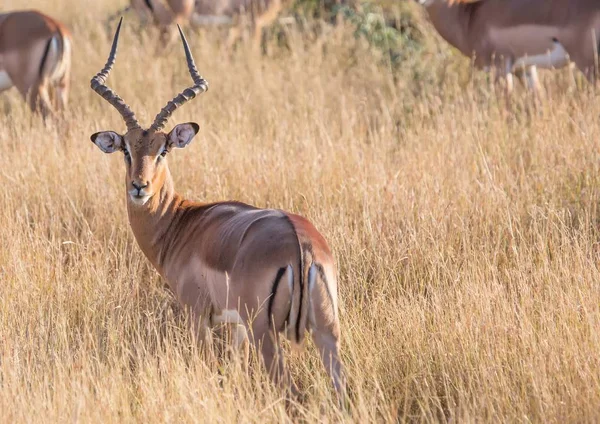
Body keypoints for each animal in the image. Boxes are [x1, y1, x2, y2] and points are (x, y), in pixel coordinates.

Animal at [86, 19, 344, 398]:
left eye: (163, 149)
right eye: (126, 149)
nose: (139, 186)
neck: (182, 222)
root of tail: (301, 247)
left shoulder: (199, 317)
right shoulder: (235, 327)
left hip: (266, 334)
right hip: (326, 333)